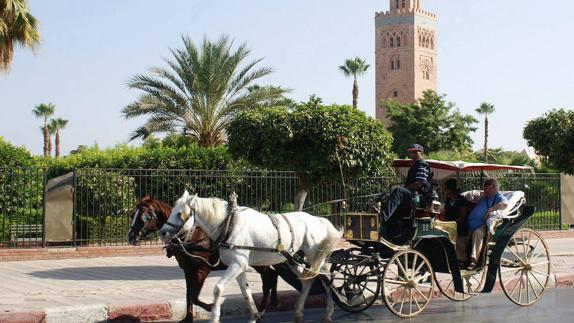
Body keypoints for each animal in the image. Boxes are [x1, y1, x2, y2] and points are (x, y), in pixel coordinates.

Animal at [127, 196, 280, 322]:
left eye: (146, 215)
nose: (130, 236)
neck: (189, 235)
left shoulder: (202, 269)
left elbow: (194, 296)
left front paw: (211, 307)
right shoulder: (188, 270)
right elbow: (189, 294)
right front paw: (188, 318)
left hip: (260, 261)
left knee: (269, 277)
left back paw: (262, 308)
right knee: (271, 276)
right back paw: (268, 304)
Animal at [160, 192, 342, 323]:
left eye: (179, 214)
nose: (163, 232)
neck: (229, 225)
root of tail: (320, 220)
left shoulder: (237, 264)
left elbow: (218, 289)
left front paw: (214, 315)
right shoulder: (238, 268)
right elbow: (246, 293)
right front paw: (255, 315)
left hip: (315, 256)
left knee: (327, 281)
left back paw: (328, 313)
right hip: (293, 258)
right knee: (308, 281)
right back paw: (298, 313)